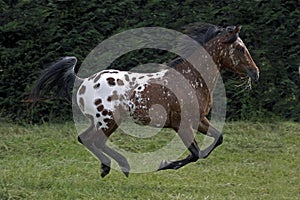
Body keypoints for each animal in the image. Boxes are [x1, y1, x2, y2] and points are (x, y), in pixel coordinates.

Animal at [31, 24, 260, 177]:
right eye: (240, 48)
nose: (255, 72)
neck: (190, 78)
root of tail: (83, 81)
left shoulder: (199, 120)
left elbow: (216, 140)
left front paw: (167, 163)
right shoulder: (182, 125)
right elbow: (195, 153)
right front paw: (165, 164)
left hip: (100, 121)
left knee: (85, 138)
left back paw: (107, 167)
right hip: (109, 121)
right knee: (96, 140)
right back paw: (122, 166)